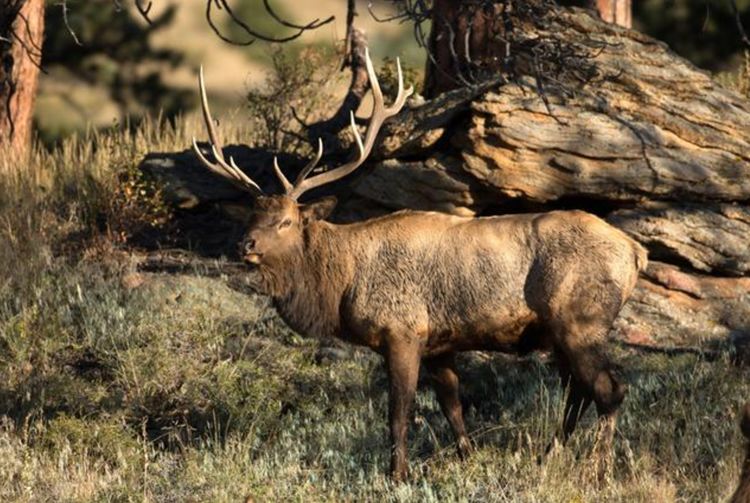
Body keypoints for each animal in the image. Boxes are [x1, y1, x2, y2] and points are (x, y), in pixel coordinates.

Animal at [191, 50, 648, 480]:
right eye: (252, 216)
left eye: (286, 221)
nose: (245, 244)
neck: (342, 285)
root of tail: (633, 251)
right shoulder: (439, 344)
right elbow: (452, 406)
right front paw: (466, 457)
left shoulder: (402, 331)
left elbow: (399, 413)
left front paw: (397, 474)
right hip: (557, 332)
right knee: (579, 390)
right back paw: (547, 456)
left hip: (581, 318)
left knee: (611, 389)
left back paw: (599, 470)